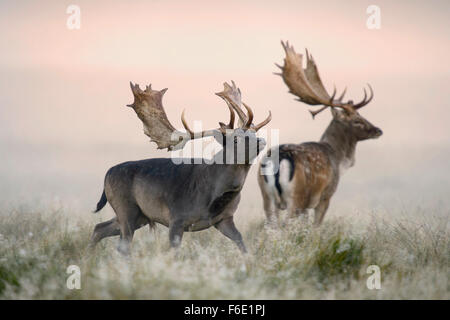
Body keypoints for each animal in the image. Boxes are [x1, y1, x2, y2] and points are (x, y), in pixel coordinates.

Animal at [89, 81, 268, 254]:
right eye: (236, 139)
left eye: (254, 133)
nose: (261, 140)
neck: (214, 197)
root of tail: (107, 175)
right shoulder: (177, 217)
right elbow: (174, 251)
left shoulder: (224, 219)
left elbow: (240, 241)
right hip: (126, 208)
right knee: (122, 244)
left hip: (139, 216)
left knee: (100, 228)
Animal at [258, 41, 382, 226]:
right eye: (357, 121)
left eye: (361, 115)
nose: (378, 130)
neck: (338, 159)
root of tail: (279, 158)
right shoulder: (325, 196)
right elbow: (316, 226)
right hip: (296, 196)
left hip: (266, 196)